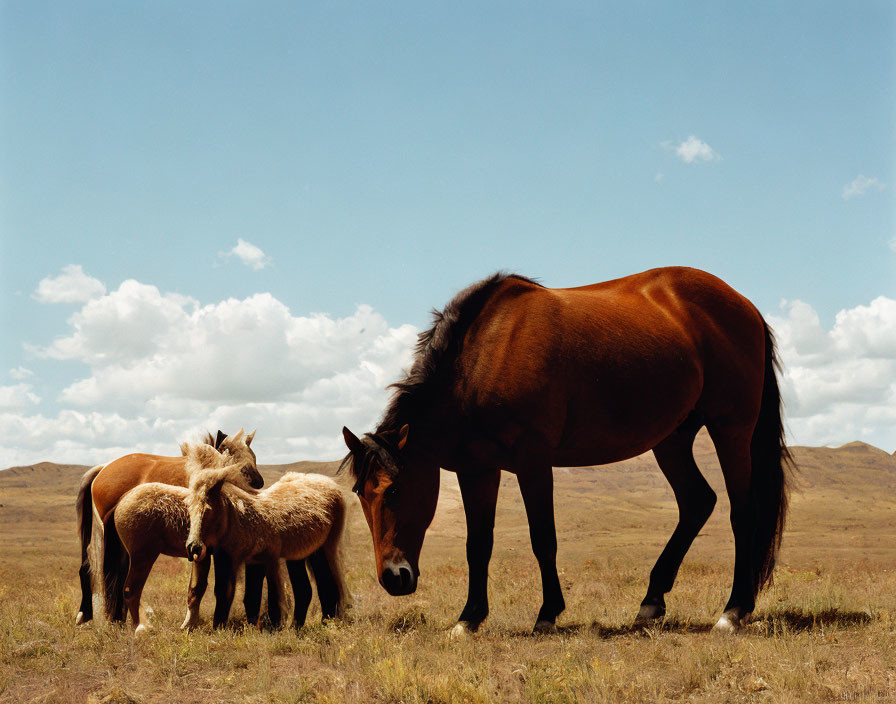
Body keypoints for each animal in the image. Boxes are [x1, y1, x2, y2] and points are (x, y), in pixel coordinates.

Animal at [184, 468, 348, 628]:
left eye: (208, 510)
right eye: (189, 509)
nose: (193, 547)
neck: (245, 520)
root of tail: (330, 484)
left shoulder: (269, 559)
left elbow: (273, 598)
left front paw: (273, 628)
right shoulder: (247, 561)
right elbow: (241, 595)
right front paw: (234, 628)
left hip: (325, 547)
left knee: (326, 583)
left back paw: (325, 623)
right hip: (301, 554)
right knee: (306, 589)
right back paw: (298, 626)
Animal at [344, 266, 792, 636]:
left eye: (395, 489)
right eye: (361, 495)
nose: (393, 577)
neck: (484, 356)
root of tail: (746, 307)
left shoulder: (533, 460)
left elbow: (543, 538)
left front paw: (547, 614)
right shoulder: (478, 470)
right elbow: (478, 545)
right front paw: (469, 618)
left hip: (731, 430)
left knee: (742, 513)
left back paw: (732, 611)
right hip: (672, 439)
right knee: (698, 502)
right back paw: (651, 603)